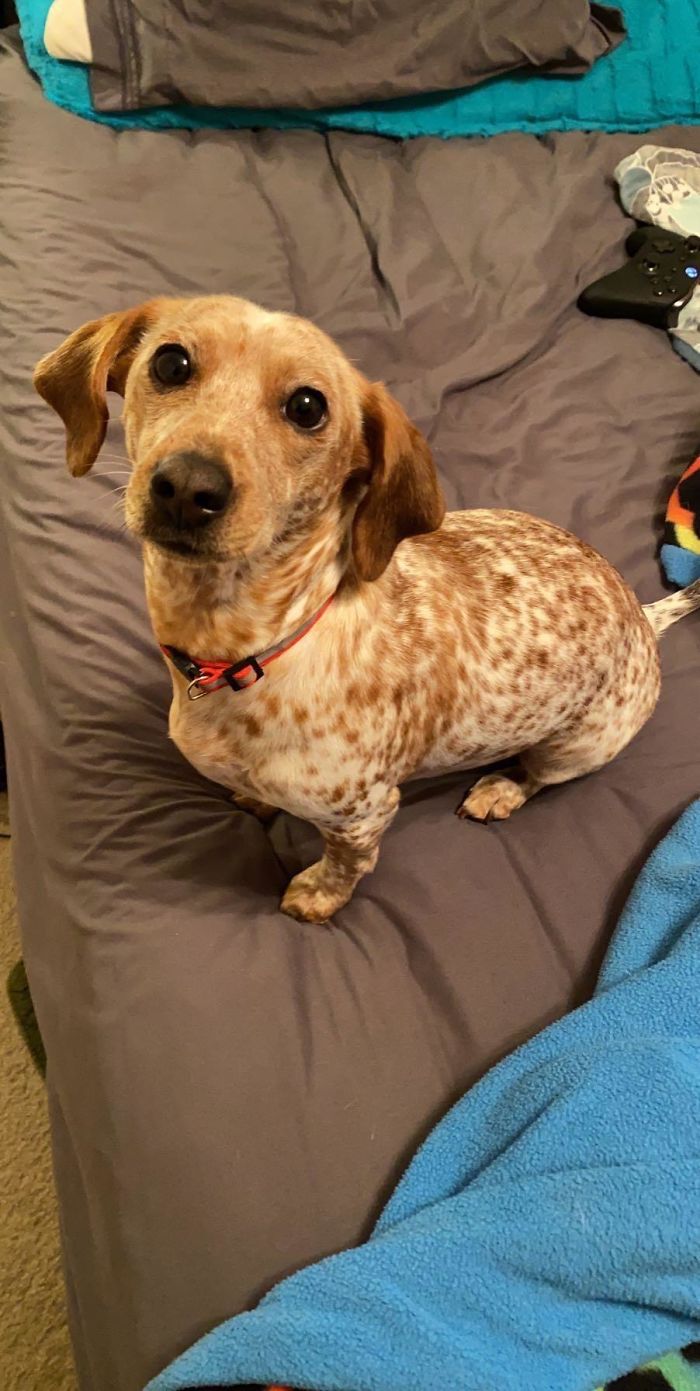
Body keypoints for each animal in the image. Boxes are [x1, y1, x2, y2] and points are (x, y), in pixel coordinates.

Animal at [34, 296, 700, 923]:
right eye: (170, 363)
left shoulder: (364, 813)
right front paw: (256, 797)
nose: (189, 487)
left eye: (307, 406)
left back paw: (501, 789)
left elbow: (347, 866)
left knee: (538, 775)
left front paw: (318, 897)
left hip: (578, 745)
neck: (252, 646)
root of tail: (642, 615)